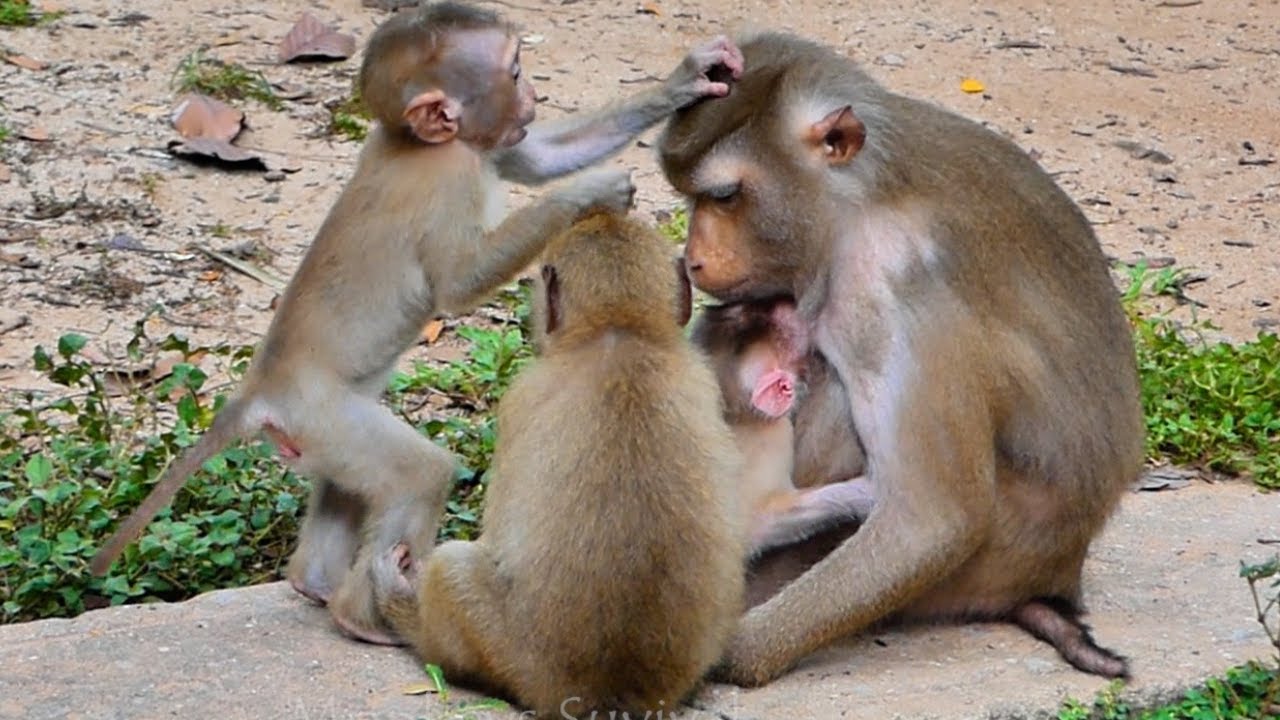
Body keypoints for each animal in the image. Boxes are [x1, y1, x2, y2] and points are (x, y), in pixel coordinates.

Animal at [88, 1, 744, 646]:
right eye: (512, 73)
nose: (531, 94)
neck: (419, 144)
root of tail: (261, 392)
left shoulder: (485, 146)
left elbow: (537, 157)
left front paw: (687, 79)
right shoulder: (452, 177)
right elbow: (458, 282)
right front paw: (589, 194)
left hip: (318, 435)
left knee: (348, 485)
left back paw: (316, 584)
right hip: (326, 414)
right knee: (419, 475)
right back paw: (366, 616)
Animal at [371, 212, 745, 719]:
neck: (618, 330)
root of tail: (610, 693)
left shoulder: (520, 397)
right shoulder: (703, 375)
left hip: (512, 657)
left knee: (452, 569)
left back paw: (407, 617)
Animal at [658, 32, 1144, 682]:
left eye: (724, 196)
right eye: (690, 197)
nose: (694, 260)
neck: (857, 202)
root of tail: (1059, 571)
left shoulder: (893, 280)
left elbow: (931, 520)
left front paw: (731, 652)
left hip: (988, 561)